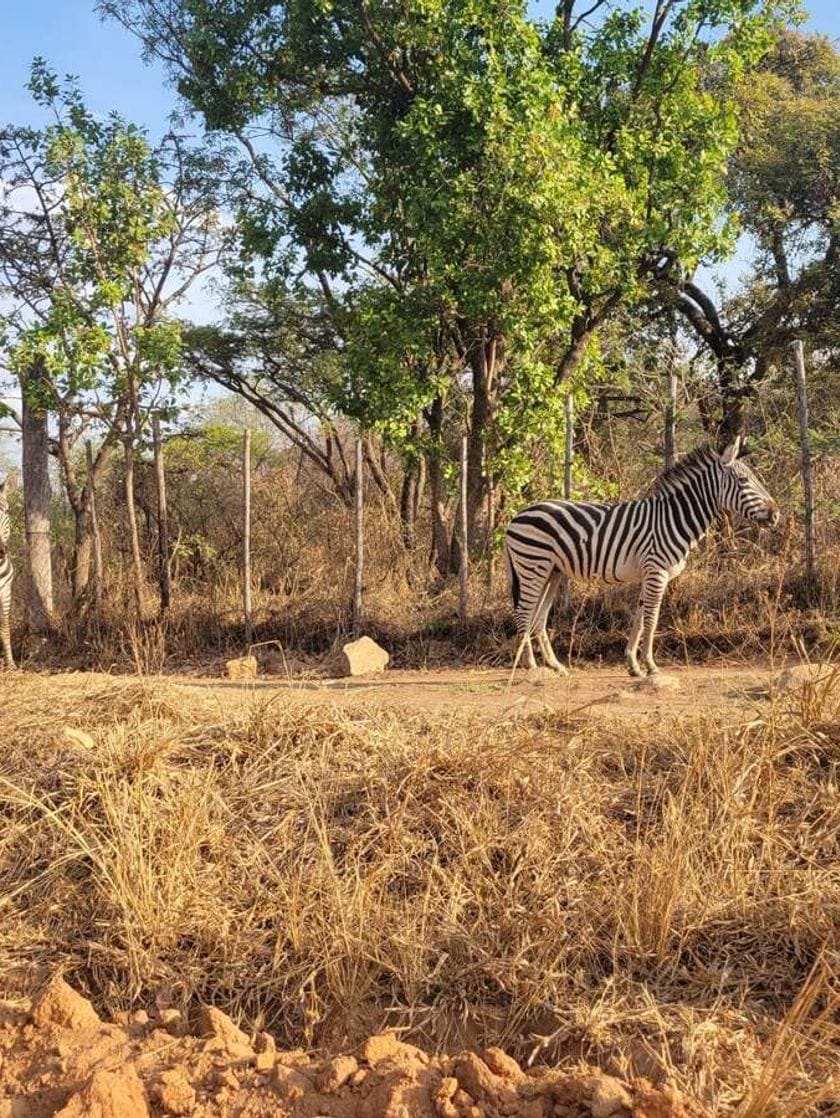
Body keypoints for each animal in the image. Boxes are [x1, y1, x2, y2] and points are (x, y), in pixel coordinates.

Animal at [503, 440, 778, 675]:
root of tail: (515, 518)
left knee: (538, 617)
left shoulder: (649, 573)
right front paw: (651, 665)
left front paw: (633, 665)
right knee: (523, 613)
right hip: (533, 566)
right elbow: (651, 619)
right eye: (743, 480)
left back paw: (555, 666)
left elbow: (639, 618)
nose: (776, 515)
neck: (674, 518)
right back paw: (530, 665)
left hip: (552, 572)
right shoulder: (657, 571)